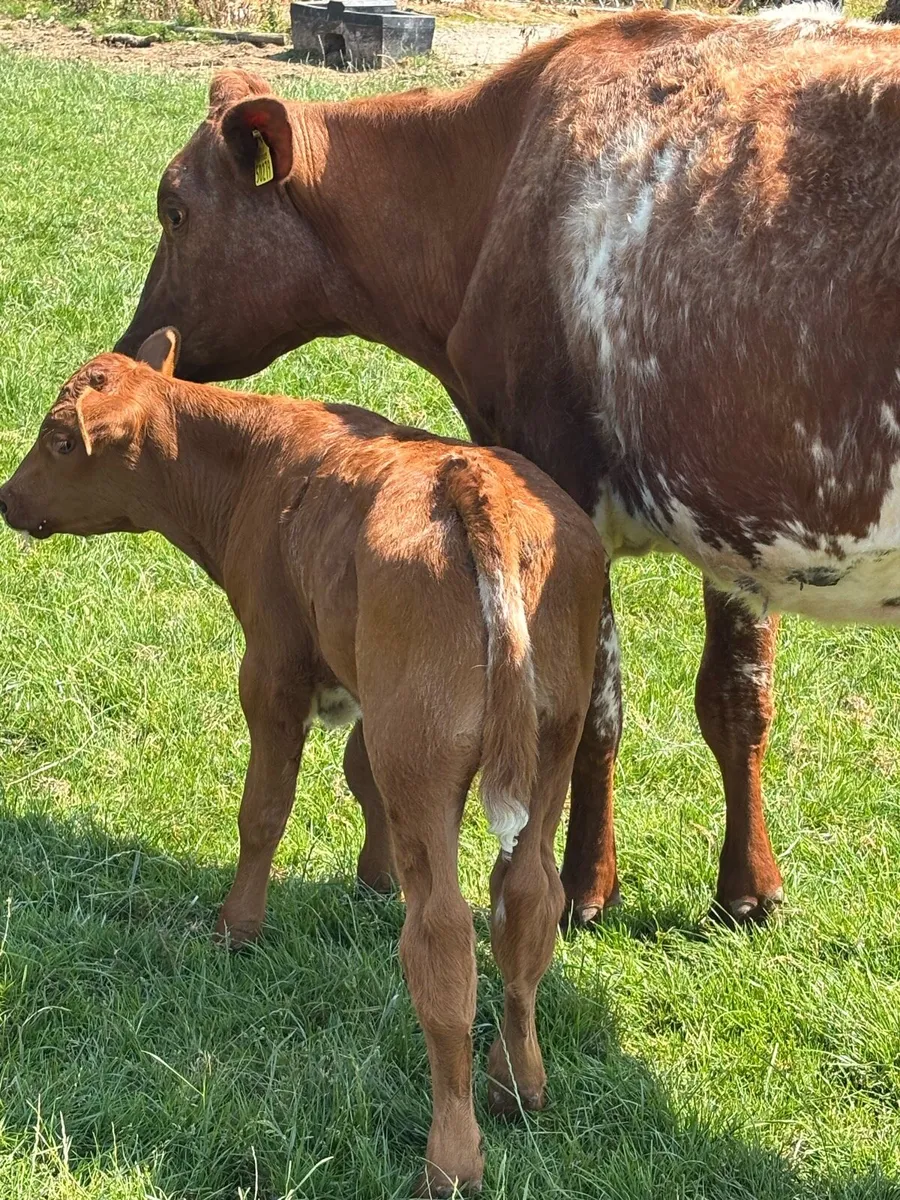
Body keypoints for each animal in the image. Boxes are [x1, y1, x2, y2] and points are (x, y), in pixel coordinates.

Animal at [0, 330, 605, 1195]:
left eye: (57, 440)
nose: (8, 498)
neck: (263, 464)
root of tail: (475, 479)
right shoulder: (363, 693)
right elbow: (360, 777)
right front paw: (373, 876)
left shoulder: (273, 671)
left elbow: (263, 811)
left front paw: (237, 927)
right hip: (550, 745)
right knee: (526, 900)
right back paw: (518, 1082)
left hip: (422, 752)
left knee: (443, 936)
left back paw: (452, 1155)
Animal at [115, 7, 900, 927]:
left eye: (174, 210)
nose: (134, 346)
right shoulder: (733, 508)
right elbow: (737, 699)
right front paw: (748, 889)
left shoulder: (561, 483)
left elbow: (593, 710)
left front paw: (585, 885)